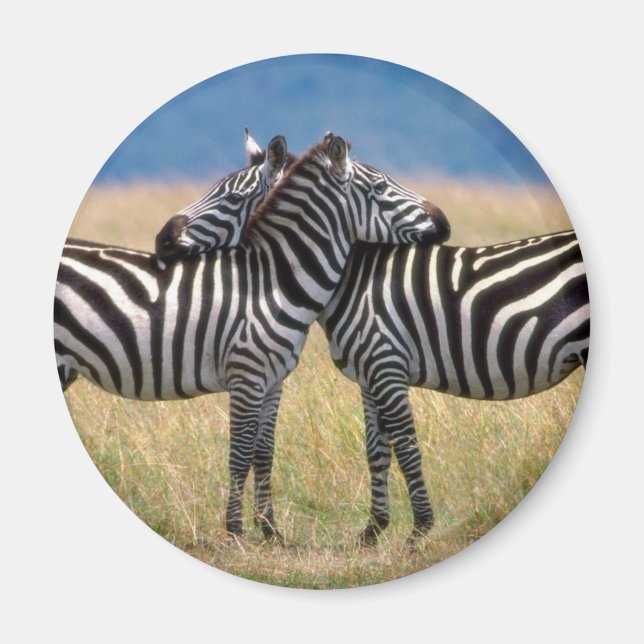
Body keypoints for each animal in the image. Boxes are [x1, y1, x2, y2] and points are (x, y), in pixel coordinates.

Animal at [54, 133, 452, 542]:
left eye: (231, 198)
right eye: (381, 188)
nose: (161, 239)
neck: (271, 282)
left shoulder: (272, 378)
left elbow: (263, 451)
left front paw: (270, 531)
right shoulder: (246, 373)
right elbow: (240, 451)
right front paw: (235, 531)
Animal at [156, 167, 588, 544]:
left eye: (230, 198)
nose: (161, 240)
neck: (350, 279)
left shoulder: (385, 362)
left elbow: (406, 449)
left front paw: (418, 533)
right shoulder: (371, 373)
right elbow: (376, 451)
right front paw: (373, 532)